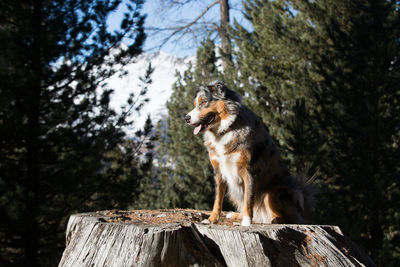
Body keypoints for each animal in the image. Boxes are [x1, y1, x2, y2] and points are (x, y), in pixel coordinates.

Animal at [185, 80, 316, 226]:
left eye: (203, 102)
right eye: (195, 104)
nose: (186, 118)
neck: (225, 130)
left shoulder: (249, 171)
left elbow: (248, 199)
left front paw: (246, 222)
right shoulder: (219, 171)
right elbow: (218, 200)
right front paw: (211, 220)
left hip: (274, 193)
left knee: (287, 218)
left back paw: (273, 220)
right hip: (233, 191)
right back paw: (236, 215)